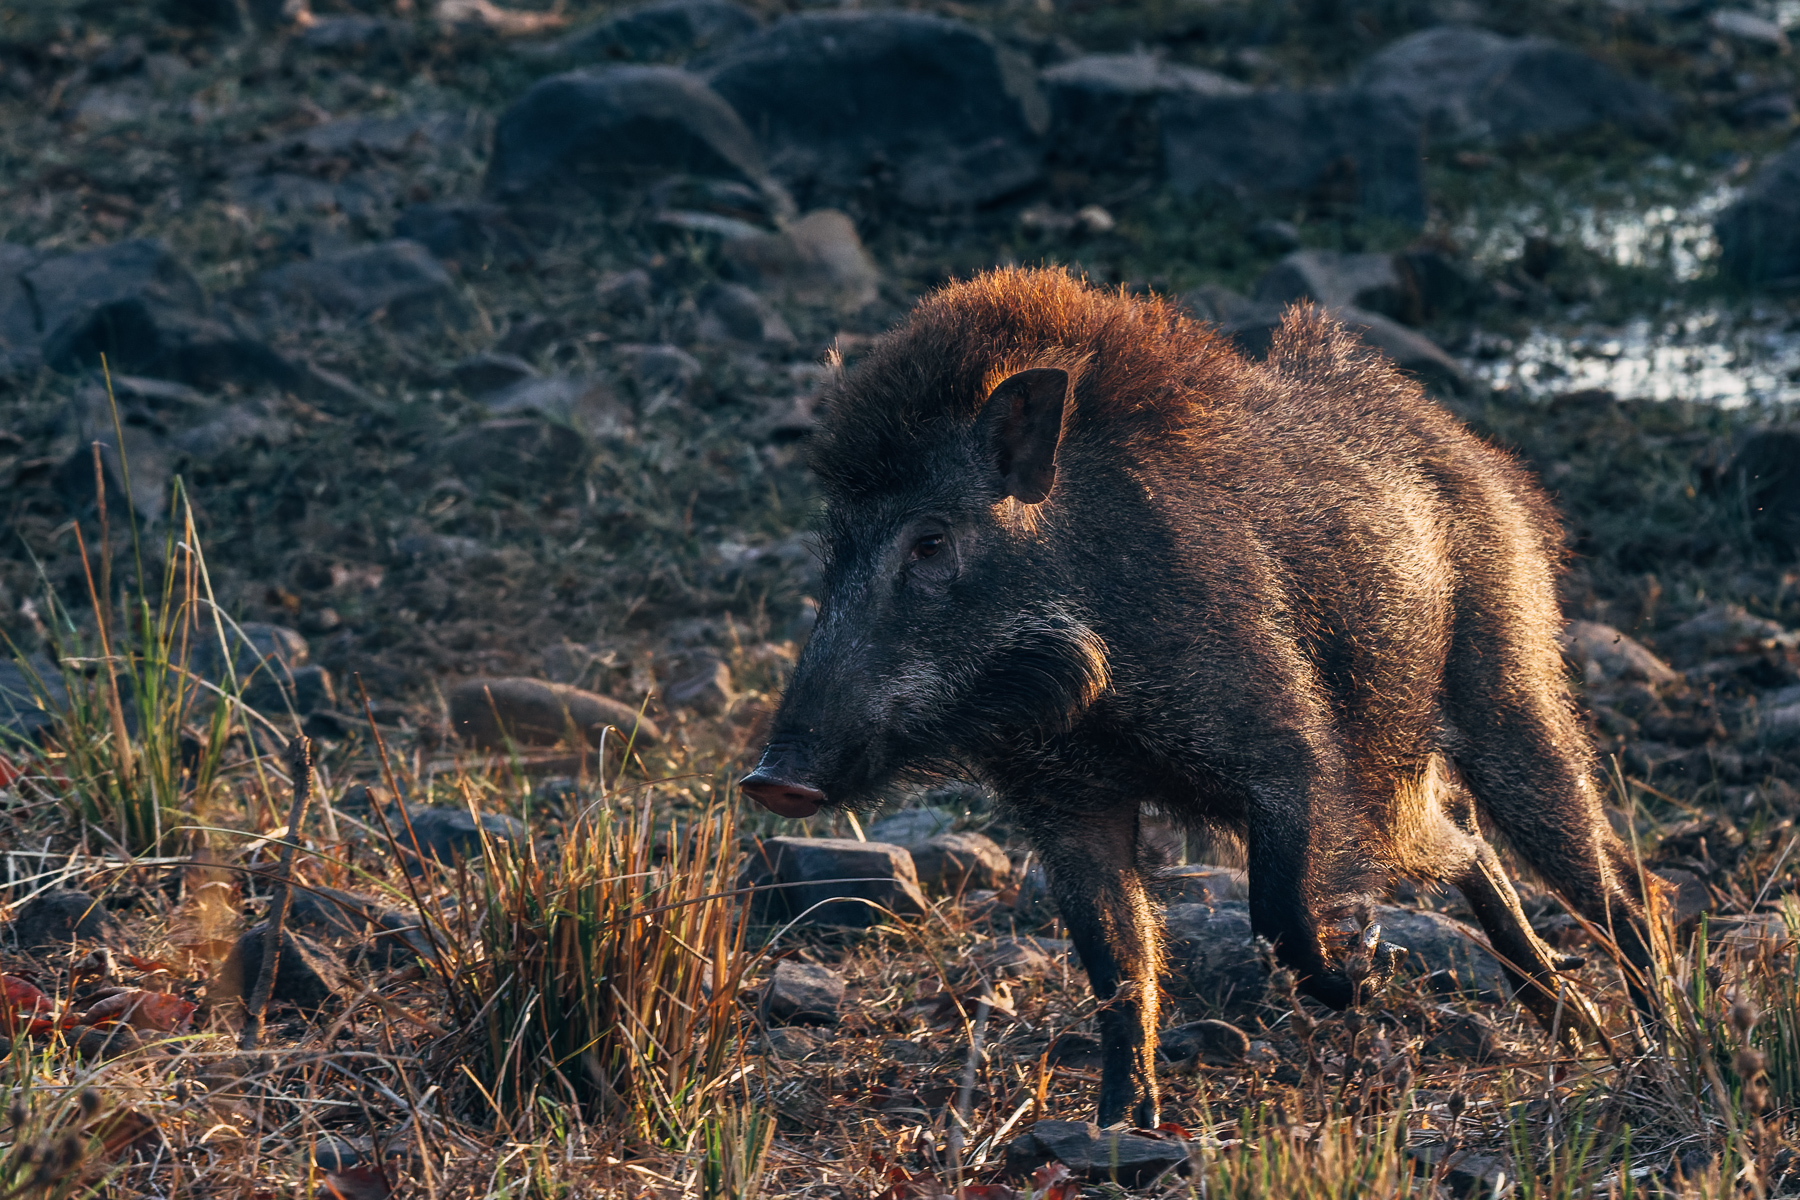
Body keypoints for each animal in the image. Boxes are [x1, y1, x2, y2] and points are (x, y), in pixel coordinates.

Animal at [741, 267, 1666, 1128]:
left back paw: (1657, 1042)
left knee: (1615, 881)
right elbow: (1117, 963)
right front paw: (1123, 1125)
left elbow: (1277, 912)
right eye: (834, 549)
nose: (769, 778)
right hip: (1409, 773)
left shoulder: (1287, 748)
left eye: (930, 542)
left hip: (1507, 687)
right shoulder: (1067, 802)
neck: (1093, 704)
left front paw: (1359, 973)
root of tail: (1480, 457)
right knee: (1471, 848)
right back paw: (1581, 1029)